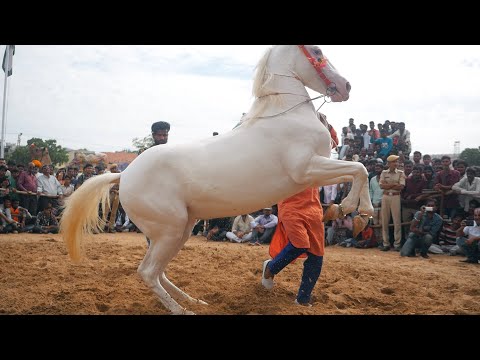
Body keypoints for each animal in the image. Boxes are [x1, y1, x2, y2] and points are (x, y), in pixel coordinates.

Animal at [61, 45, 376, 316]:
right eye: (317, 52)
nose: (346, 87)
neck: (286, 115)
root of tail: (124, 174)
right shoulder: (307, 169)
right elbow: (359, 167)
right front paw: (355, 209)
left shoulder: (316, 170)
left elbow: (357, 170)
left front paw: (353, 211)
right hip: (169, 230)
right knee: (148, 272)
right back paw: (182, 309)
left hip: (180, 230)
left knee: (158, 271)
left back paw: (192, 300)